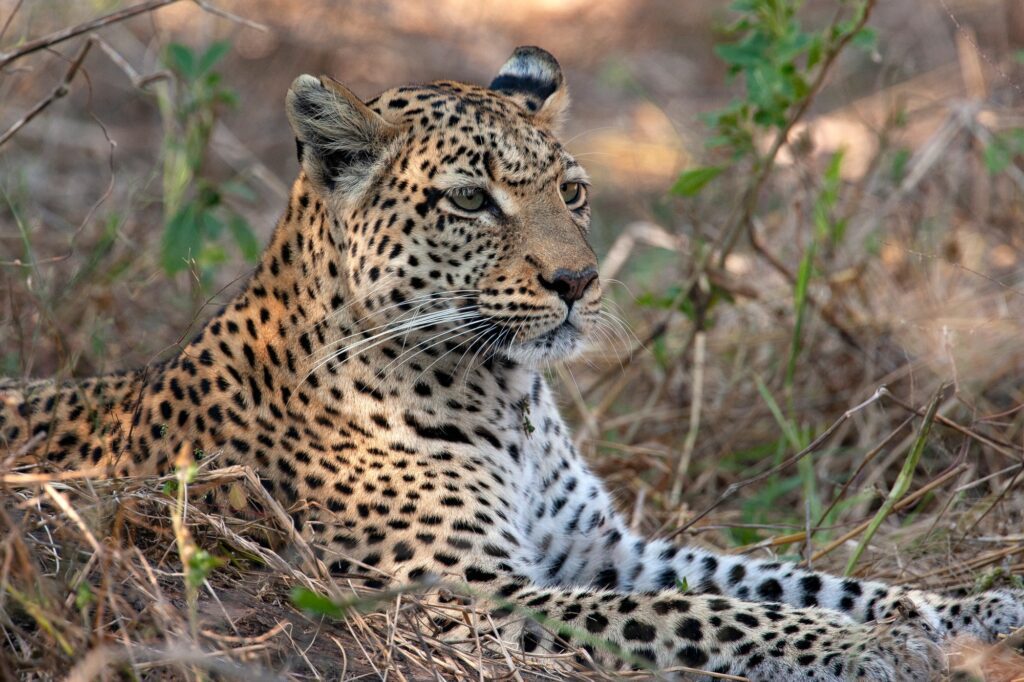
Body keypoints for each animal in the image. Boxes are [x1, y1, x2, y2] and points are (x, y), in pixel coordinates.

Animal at [2, 45, 1024, 675]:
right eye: (469, 200)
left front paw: (974, 609)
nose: (577, 280)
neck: (507, 397)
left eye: (571, 191)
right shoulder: (464, 592)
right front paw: (862, 648)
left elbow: (781, 579)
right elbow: (711, 613)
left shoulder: (606, 550)